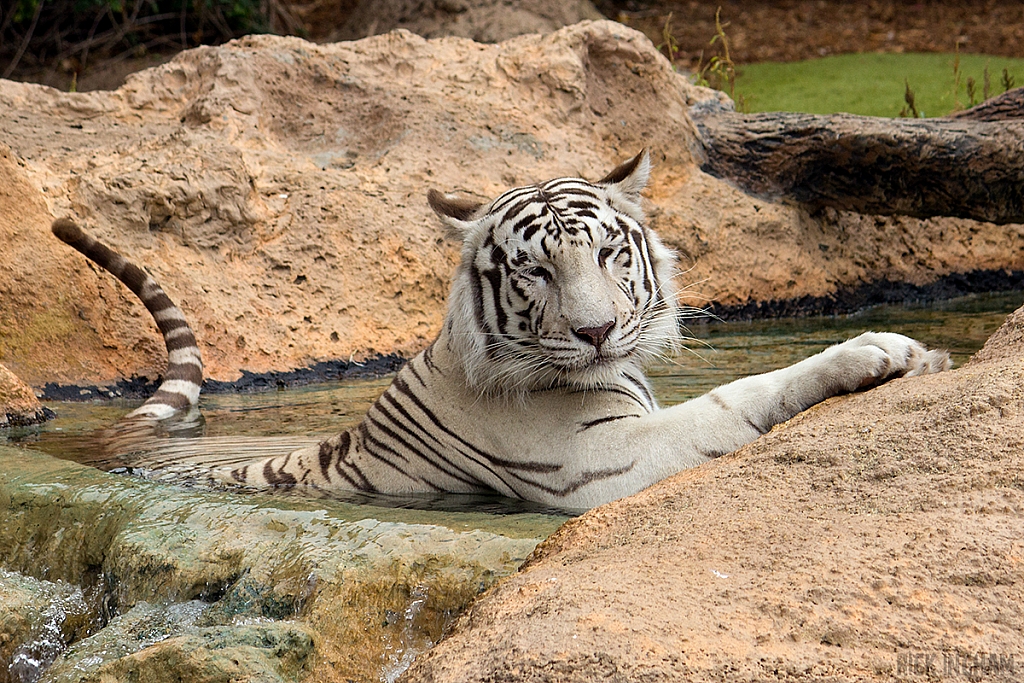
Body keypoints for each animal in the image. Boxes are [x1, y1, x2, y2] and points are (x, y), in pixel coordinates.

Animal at [54, 152, 950, 509]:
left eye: (607, 253)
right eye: (537, 272)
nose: (597, 332)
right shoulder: (608, 462)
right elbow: (740, 395)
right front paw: (883, 351)